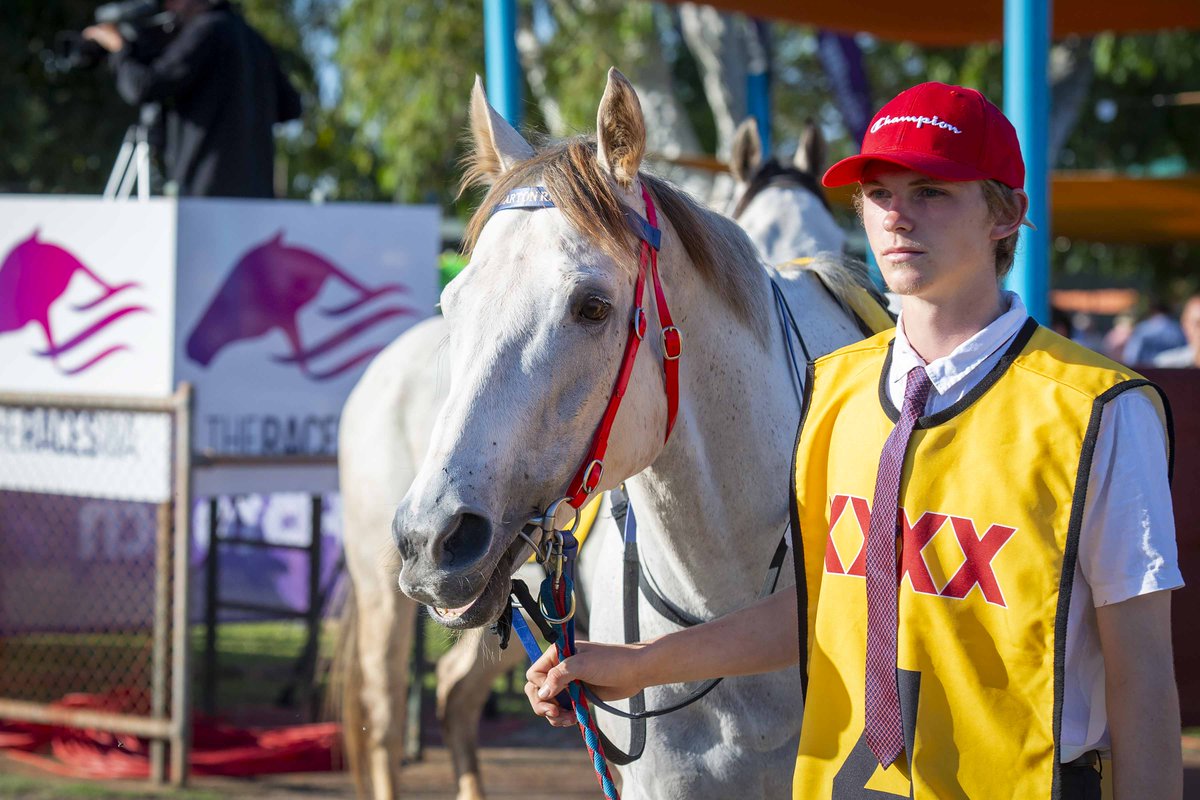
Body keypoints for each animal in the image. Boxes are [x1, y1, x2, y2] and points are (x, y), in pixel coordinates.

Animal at [340, 68, 882, 800]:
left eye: (593, 307)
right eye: (452, 304)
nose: (432, 539)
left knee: (454, 695)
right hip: (384, 596)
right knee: (386, 715)